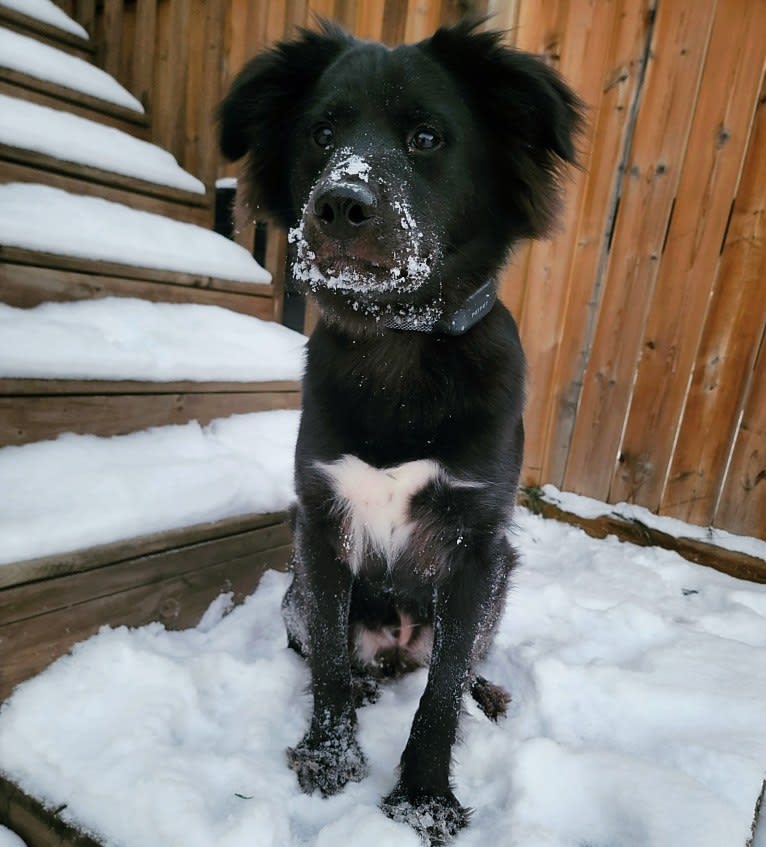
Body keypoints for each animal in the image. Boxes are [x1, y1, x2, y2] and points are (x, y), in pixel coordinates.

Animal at [219, 21, 580, 847]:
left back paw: (485, 691)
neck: (399, 347)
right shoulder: (321, 526)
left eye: (426, 137)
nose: (338, 205)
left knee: (460, 658)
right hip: (295, 593)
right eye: (321, 134)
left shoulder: (476, 545)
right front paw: (330, 752)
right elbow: (325, 659)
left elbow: (441, 690)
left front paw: (422, 796)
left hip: (500, 581)